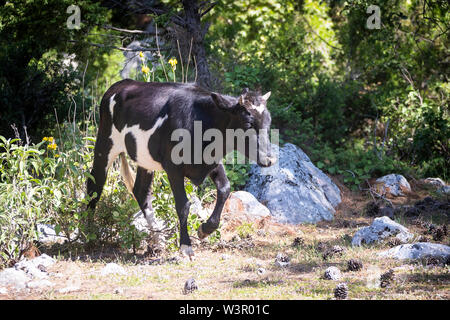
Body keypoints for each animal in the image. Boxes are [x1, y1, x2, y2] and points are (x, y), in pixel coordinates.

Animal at [85, 79, 274, 258]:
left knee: (141, 191)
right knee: (95, 185)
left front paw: (205, 229)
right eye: (248, 123)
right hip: (104, 143)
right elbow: (183, 205)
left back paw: (158, 239)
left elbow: (225, 189)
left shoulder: (212, 161)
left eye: (268, 122)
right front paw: (186, 246)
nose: (270, 158)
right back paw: (87, 233)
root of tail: (121, 84)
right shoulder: (173, 168)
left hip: (144, 158)